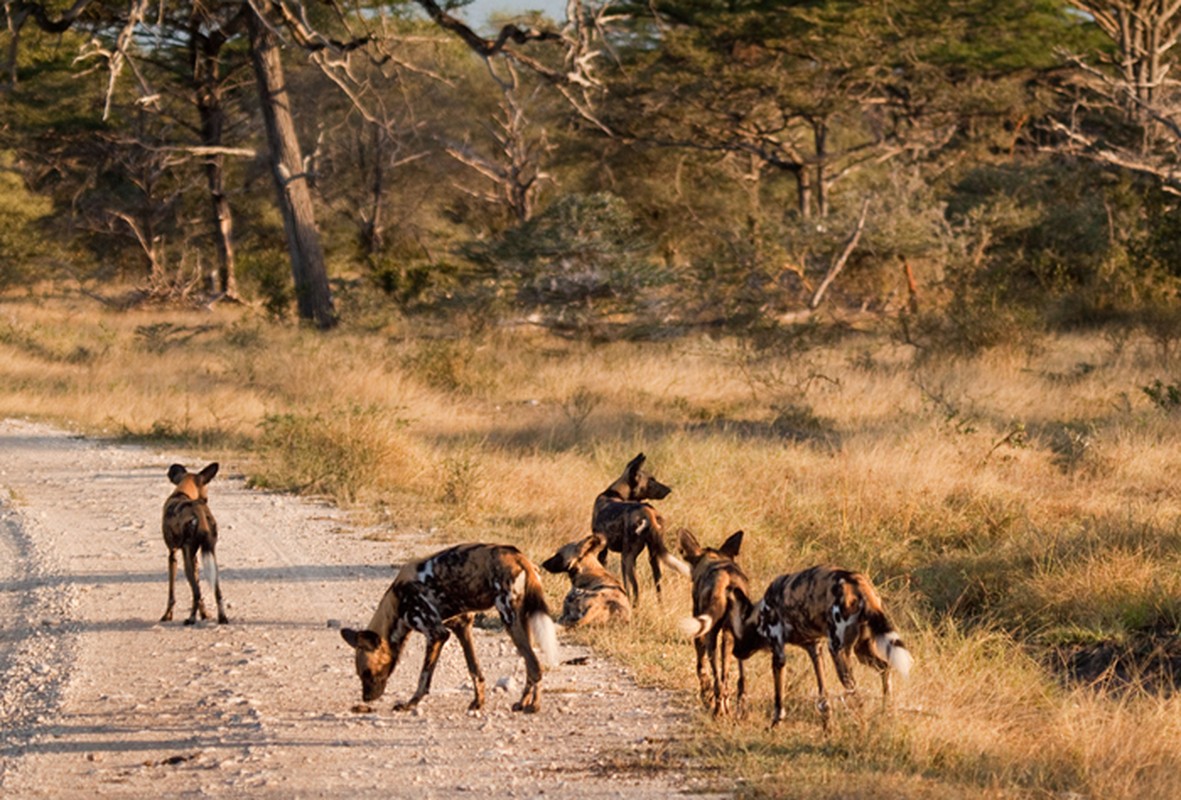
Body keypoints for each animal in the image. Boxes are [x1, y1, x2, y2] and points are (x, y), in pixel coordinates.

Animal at [159, 460, 227, 623]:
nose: (206, 500)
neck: (183, 492)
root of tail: (199, 511)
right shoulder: (195, 557)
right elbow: (202, 593)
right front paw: (204, 614)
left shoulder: (173, 554)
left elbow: (172, 593)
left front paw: (167, 615)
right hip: (210, 557)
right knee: (217, 591)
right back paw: (222, 617)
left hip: (186, 561)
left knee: (196, 592)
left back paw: (190, 619)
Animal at [342, 543, 562, 713]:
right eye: (360, 675)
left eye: (367, 673)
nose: (366, 698)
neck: (397, 601)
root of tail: (520, 558)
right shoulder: (461, 627)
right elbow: (474, 670)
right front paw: (477, 703)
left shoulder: (437, 634)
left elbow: (423, 679)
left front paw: (409, 704)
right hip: (521, 621)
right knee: (530, 665)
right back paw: (522, 703)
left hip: (509, 620)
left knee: (535, 666)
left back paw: (534, 706)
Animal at [590, 451, 689, 602]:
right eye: (651, 480)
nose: (669, 489)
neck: (616, 493)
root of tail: (648, 512)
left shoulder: (605, 553)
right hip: (653, 558)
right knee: (658, 588)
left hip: (628, 558)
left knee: (636, 589)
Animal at [680, 529, 751, 718]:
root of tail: (726, 578)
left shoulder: (700, 633)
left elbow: (701, 670)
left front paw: (706, 697)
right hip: (734, 637)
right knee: (734, 680)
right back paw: (736, 711)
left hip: (710, 635)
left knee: (718, 680)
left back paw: (717, 710)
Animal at [732, 564, 916, 727]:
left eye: (735, 634)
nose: (734, 652)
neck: (761, 613)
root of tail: (858, 584)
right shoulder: (815, 649)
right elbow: (823, 695)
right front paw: (827, 726)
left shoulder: (779, 654)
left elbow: (779, 700)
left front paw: (775, 724)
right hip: (862, 651)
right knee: (885, 668)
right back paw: (886, 712)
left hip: (837, 652)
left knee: (855, 691)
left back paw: (861, 723)